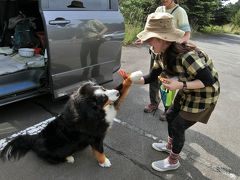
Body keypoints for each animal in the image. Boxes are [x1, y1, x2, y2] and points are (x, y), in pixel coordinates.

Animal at [0, 70, 142, 167]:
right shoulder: (96, 135)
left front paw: (134, 76)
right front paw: (104, 162)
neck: (94, 111)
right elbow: (99, 150)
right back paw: (68, 158)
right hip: (54, 149)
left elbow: (123, 86)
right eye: (103, 98)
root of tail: (35, 137)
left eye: (104, 89)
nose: (116, 94)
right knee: (50, 159)